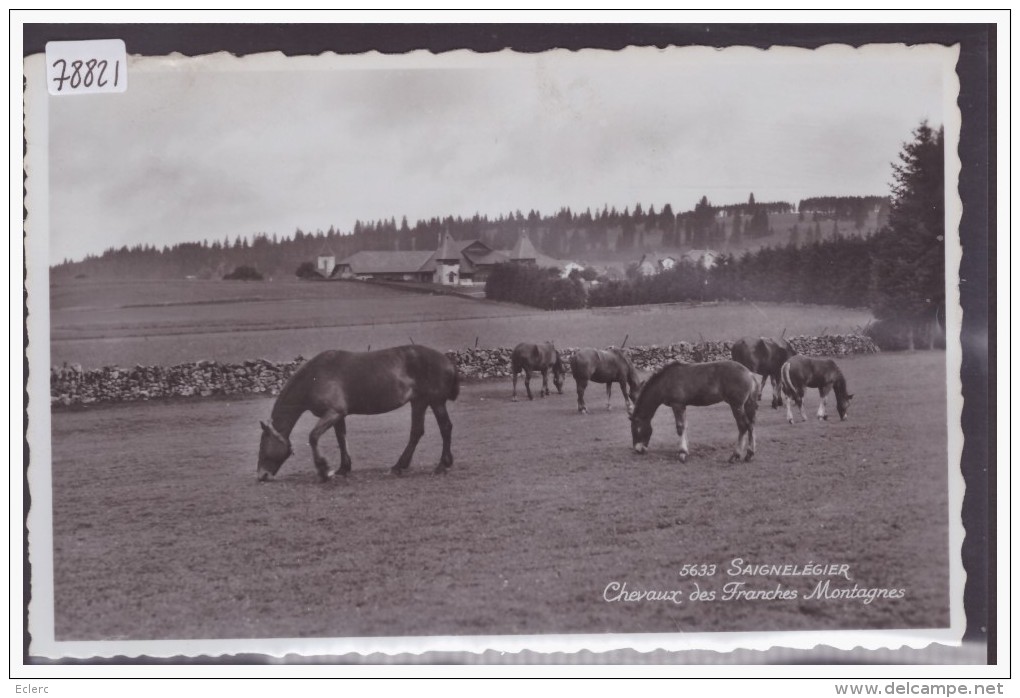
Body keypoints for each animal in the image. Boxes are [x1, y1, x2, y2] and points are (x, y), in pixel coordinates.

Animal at [257, 346, 461, 481]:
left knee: (445, 428)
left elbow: (313, 436)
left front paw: (324, 469)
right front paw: (343, 469)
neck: (314, 377)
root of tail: (447, 361)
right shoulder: (338, 416)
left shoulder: (333, 412)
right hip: (419, 402)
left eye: (262, 446)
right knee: (417, 432)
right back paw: (398, 466)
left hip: (435, 402)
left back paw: (442, 465)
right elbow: (341, 439)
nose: (261, 475)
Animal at [628, 359, 758, 463]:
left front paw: (682, 453)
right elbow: (685, 426)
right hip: (746, 405)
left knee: (743, 426)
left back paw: (736, 455)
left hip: (736, 405)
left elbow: (680, 427)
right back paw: (749, 454)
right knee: (750, 425)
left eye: (635, 430)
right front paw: (686, 450)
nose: (638, 450)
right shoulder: (683, 406)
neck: (665, 382)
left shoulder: (677, 405)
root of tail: (749, 373)